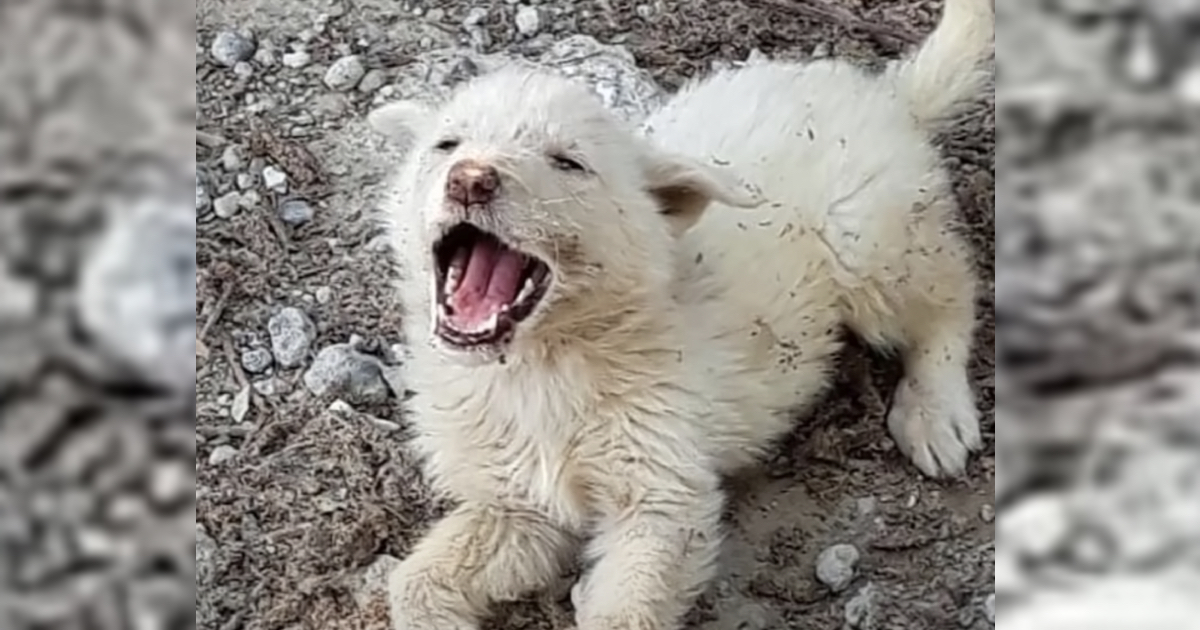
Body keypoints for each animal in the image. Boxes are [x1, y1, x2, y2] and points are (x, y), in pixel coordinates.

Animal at [372, 2, 993, 624]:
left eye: (567, 162)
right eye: (446, 145)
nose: (470, 179)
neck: (540, 366)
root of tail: (887, 95)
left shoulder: (664, 498)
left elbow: (624, 612)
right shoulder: (515, 502)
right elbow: (414, 580)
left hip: (870, 246)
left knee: (953, 296)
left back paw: (936, 412)